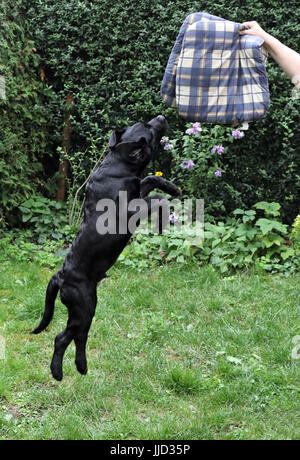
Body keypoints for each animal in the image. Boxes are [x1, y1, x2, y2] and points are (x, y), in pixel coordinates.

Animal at [31, 115, 180, 380]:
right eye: (149, 127)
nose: (162, 117)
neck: (119, 166)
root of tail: (60, 275)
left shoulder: (138, 187)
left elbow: (150, 179)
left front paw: (171, 187)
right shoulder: (131, 209)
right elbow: (156, 199)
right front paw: (163, 222)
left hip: (87, 310)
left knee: (79, 337)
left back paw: (82, 367)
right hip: (84, 308)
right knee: (62, 338)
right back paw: (57, 372)